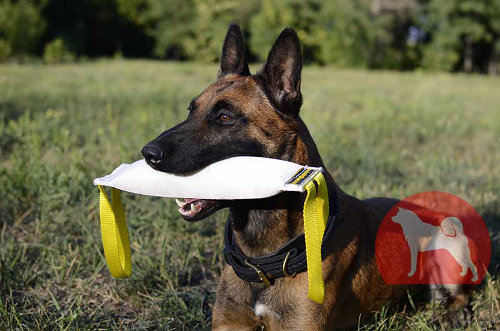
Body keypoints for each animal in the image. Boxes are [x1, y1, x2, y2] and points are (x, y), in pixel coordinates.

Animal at [141, 23, 468, 331]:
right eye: (190, 110)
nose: (148, 153)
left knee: (459, 295)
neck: (265, 264)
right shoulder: (229, 323)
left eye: (224, 117)